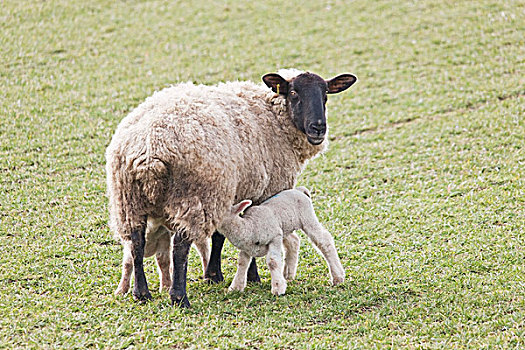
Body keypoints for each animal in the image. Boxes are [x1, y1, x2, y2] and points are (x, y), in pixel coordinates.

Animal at [104, 69, 356, 306]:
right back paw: (179, 297)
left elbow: (222, 235)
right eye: (294, 93)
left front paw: (215, 275)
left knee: (136, 244)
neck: (273, 115)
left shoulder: (233, 191)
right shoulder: (253, 191)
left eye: (325, 94)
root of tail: (149, 151)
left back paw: (141, 293)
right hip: (194, 196)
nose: (318, 128)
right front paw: (247, 276)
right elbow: (230, 234)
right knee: (180, 248)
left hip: (128, 201)